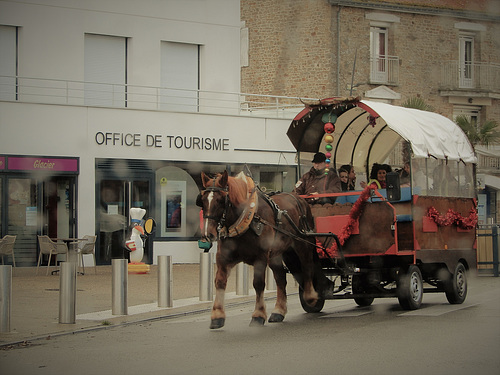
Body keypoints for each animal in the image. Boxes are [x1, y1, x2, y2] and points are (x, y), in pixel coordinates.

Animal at [198, 170, 318, 328]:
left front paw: (258, 314)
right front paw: (217, 315)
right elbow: (219, 281)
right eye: (203, 200)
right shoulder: (223, 257)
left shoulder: (260, 257)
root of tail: (300, 199)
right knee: (281, 279)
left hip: (302, 245)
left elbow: (258, 284)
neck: (247, 220)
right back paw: (279, 311)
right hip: (276, 254)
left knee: (307, 267)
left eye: (221, 200)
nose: (208, 234)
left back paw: (310, 296)